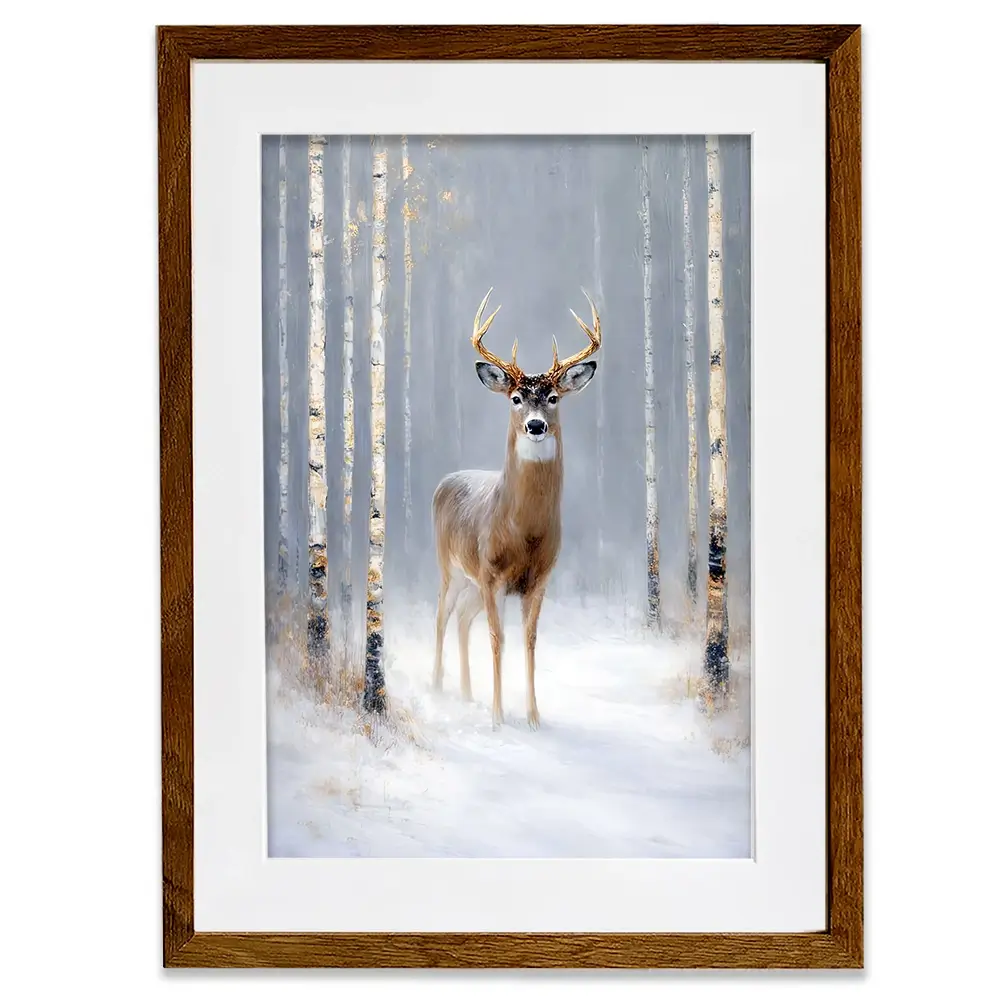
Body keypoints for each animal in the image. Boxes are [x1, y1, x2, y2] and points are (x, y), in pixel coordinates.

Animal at [431, 288, 601, 729]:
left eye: (554, 397)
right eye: (516, 398)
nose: (536, 425)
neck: (523, 533)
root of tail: (444, 480)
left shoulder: (537, 580)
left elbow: (529, 640)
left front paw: (533, 717)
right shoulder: (492, 575)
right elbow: (497, 638)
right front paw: (496, 716)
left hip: (472, 583)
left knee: (461, 618)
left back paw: (467, 693)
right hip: (451, 566)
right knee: (442, 615)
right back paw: (437, 686)